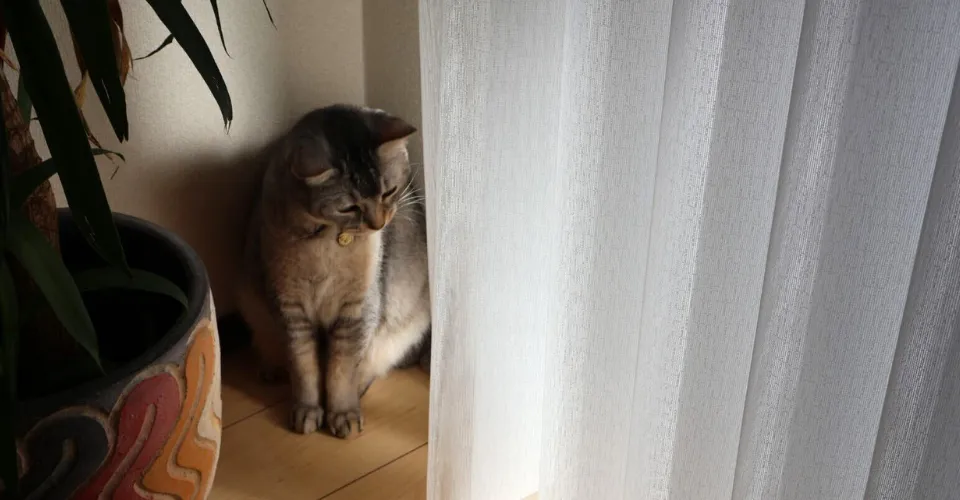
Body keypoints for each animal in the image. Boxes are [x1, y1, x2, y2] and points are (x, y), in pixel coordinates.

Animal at [236, 105, 430, 438]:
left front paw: (342, 415)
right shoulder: (290, 308)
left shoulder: (357, 310)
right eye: (349, 207)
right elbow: (304, 367)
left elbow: (341, 370)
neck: (328, 242)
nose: (379, 224)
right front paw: (307, 411)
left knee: (370, 366)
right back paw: (271, 369)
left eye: (389, 191)